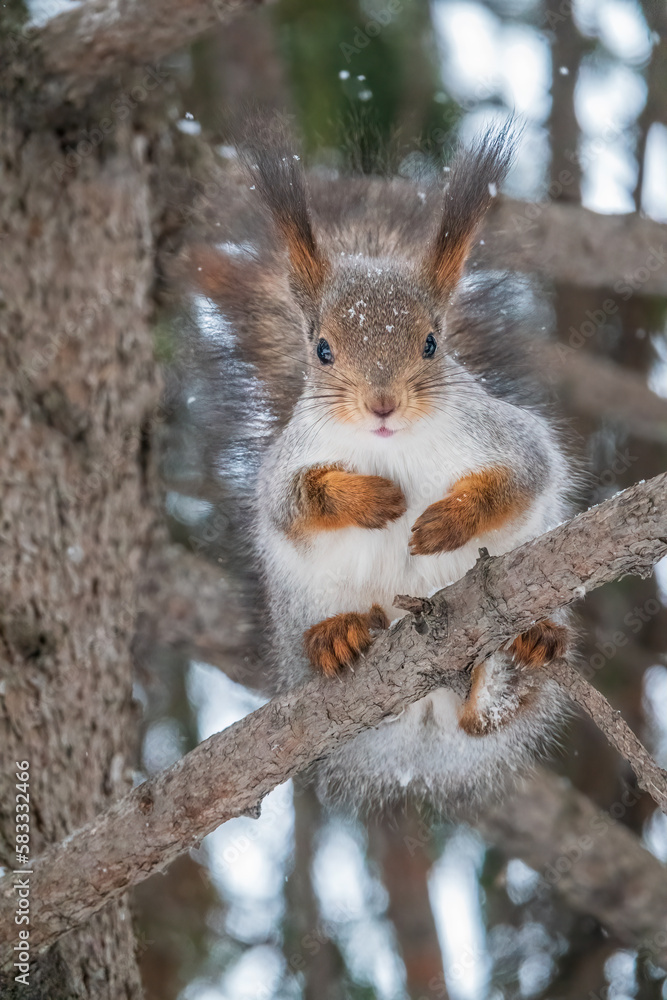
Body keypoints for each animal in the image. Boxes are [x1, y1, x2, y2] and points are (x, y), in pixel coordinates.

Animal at [192, 124, 573, 812]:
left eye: (431, 342)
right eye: (321, 348)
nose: (382, 405)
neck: (392, 446)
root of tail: (425, 709)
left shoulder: (509, 437)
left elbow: (525, 476)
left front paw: (450, 520)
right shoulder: (285, 464)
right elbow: (294, 501)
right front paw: (367, 500)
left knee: (490, 715)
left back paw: (526, 652)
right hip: (303, 598)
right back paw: (336, 637)